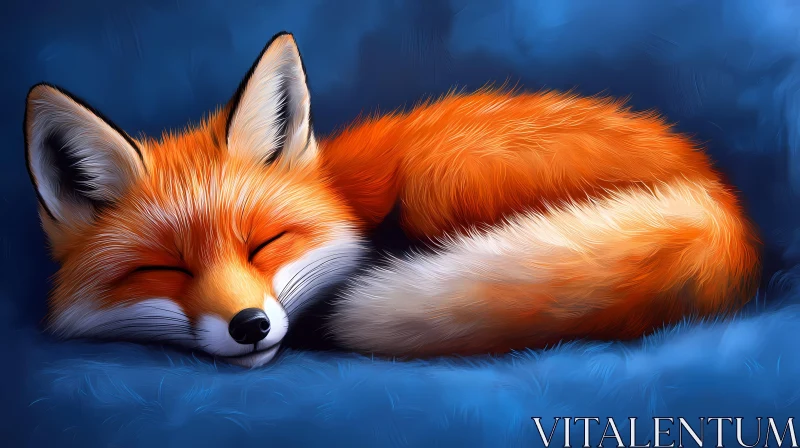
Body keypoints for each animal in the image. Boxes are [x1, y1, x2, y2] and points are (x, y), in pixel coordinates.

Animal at [24, 32, 761, 368]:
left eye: (265, 244)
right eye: (164, 269)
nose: (249, 325)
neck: (341, 193)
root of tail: (721, 199)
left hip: (444, 177)